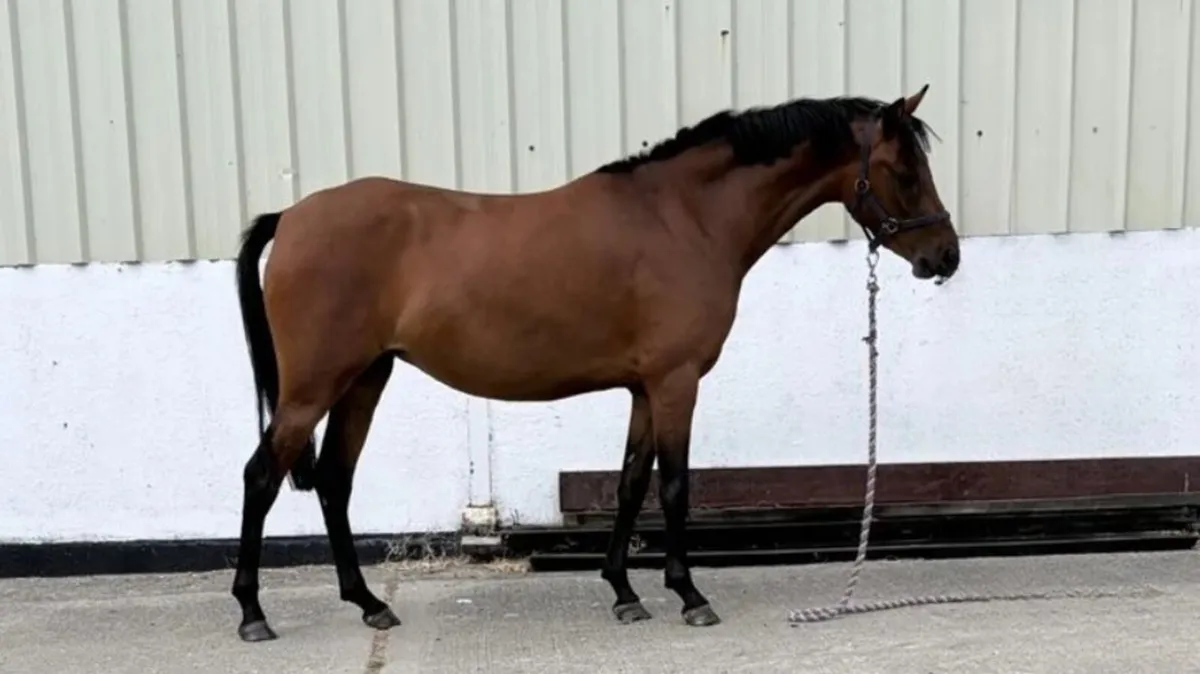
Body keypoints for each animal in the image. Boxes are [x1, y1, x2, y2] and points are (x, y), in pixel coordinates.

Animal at [229, 84, 959, 642]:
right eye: (905, 171)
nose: (946, 257)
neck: (684, 217)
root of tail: (291, 216)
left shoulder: (643, 388)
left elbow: (631, 483)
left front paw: (624, 592)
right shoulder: (675, 382)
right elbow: (674, 487)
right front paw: (690, 596)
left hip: (364, 379)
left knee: (334, 481)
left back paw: (370, 604)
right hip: (313, 388)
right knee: (262, 476)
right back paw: (252, 613)